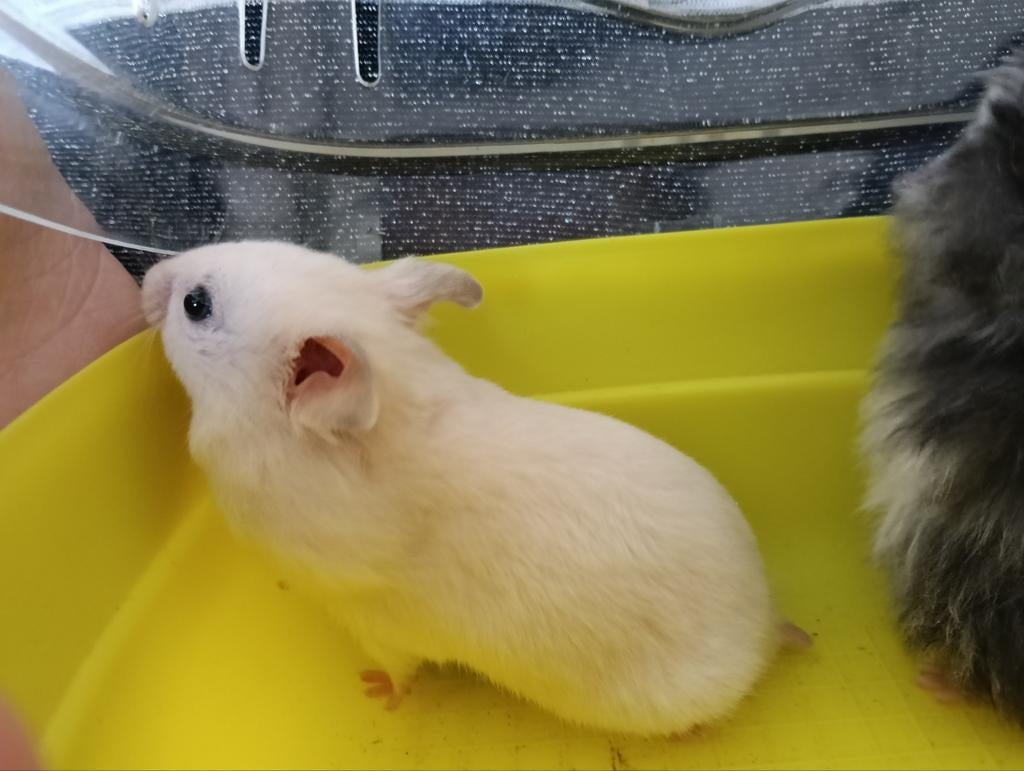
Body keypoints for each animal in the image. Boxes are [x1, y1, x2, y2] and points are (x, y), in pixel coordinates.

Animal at [142, 241, 795, 736]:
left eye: (195, 305)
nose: (149, 275)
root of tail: (769, 623)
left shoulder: (373, 622)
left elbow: (399, 672)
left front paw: (375, 692)